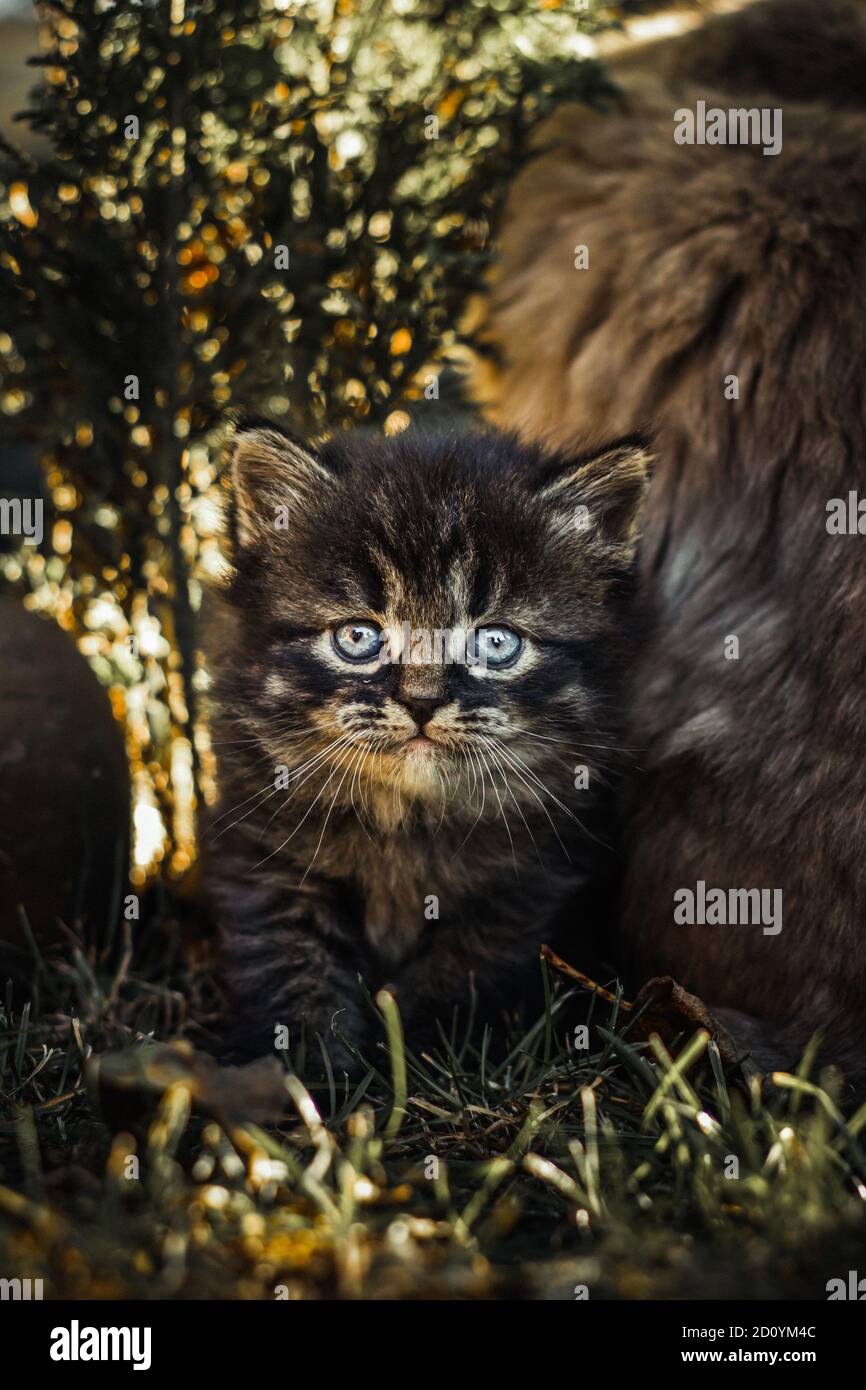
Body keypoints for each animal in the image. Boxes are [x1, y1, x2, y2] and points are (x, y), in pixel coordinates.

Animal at [204, 414, 650, 1061]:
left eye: (496, 643)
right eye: (358, 636)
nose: (421, 701)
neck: (407, 822)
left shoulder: (530, 877)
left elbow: (462, 970)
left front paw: (414, 1056)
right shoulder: (267, 854)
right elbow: (291, 965)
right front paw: (305, 1066)